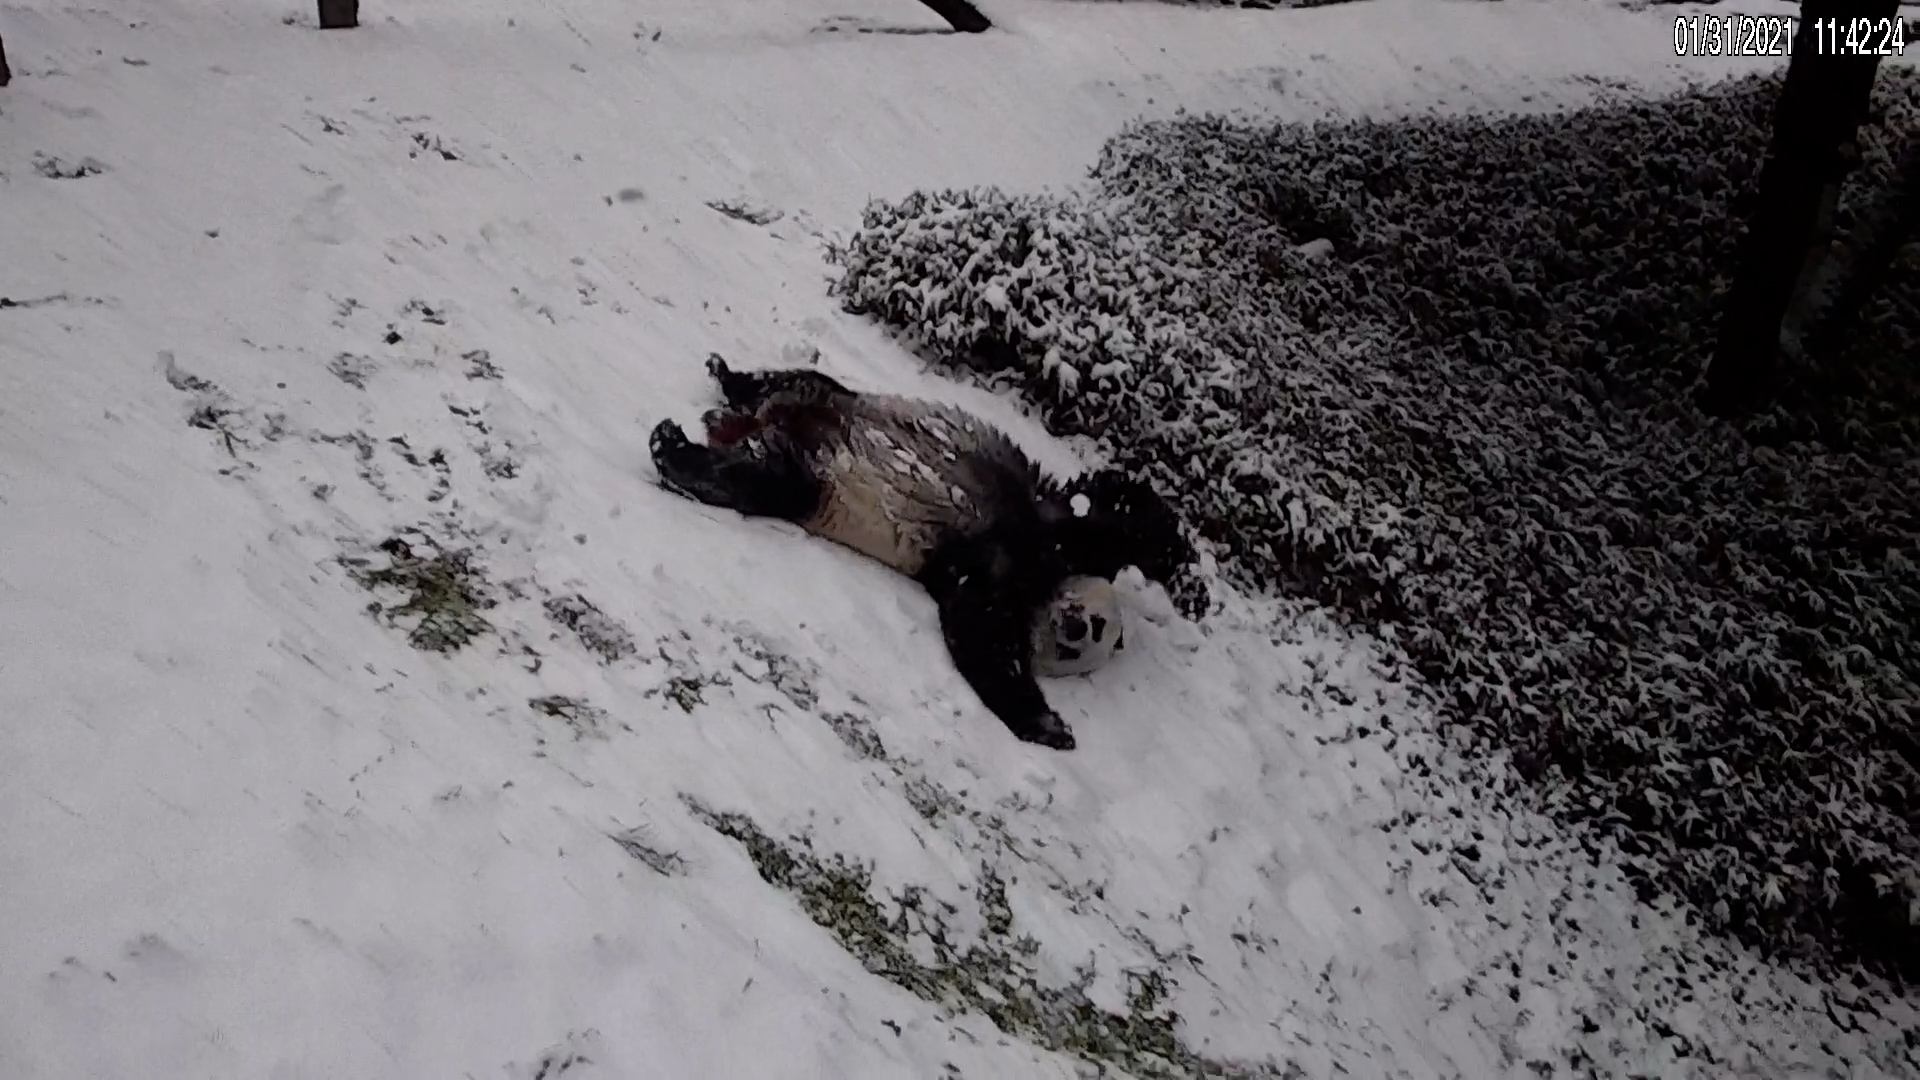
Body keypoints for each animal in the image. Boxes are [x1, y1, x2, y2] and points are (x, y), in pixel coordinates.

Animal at [660, 353, 1198, 749]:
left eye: (1084, 644)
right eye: (1096, 626)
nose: (1074, 627)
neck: (1041, 584)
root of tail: (755, 423)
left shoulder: (972, 575)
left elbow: (981, 636)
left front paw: (1046, 723)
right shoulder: (1056, 538)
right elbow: (1120, 519)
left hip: (809, 479)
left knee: (762, 477)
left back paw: (679, 446)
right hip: (833, 404)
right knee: (791, 381)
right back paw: (715, 386)